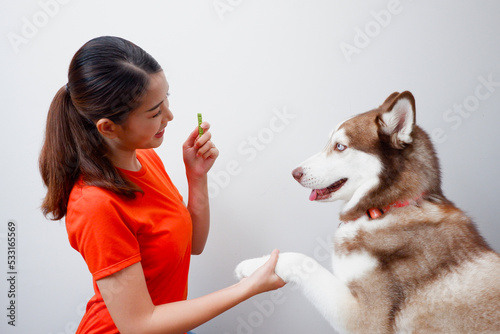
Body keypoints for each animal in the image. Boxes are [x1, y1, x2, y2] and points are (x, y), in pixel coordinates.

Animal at [236, 92, 500, 334]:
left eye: (340, 146)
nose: (295, 173)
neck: (386, 208)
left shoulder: (365, 320)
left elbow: (303, 260)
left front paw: (252, 266)